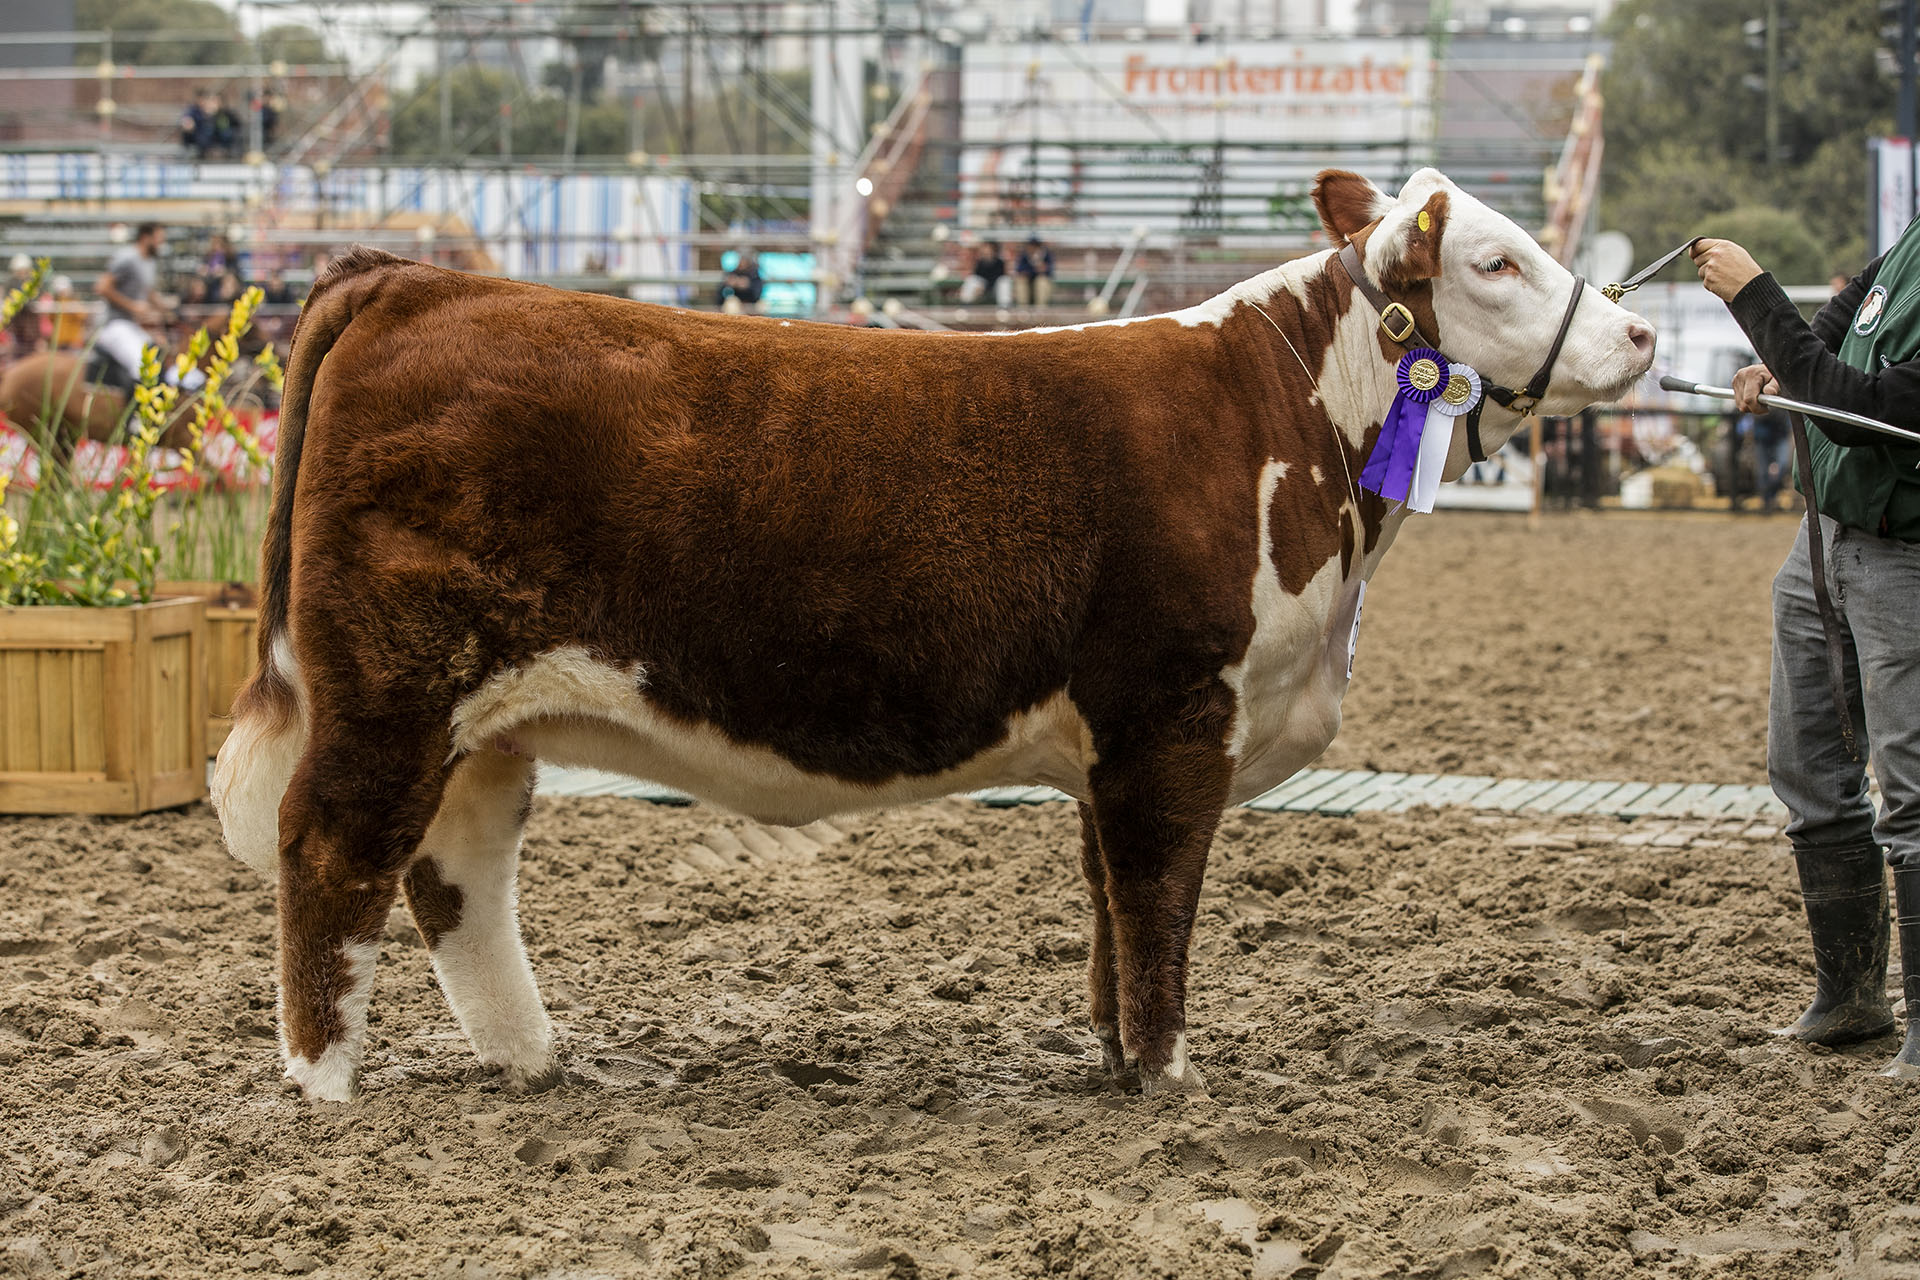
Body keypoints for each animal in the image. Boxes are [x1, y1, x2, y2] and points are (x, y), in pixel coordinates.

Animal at [206, 167, 1651, 1105]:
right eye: (1497, 262)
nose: (1640, 330)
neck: (1292, 418)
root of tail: (414, 281)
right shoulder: (1177, 710)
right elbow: (1159, 902)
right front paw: (1170, 1075)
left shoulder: (1113, 742)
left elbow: (1108, 907)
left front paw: (1115, 1061)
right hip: (393, 683)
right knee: (332, 847)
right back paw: (323, 1085)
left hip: (482, 716)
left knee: (458, 870)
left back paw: (533, 1059)